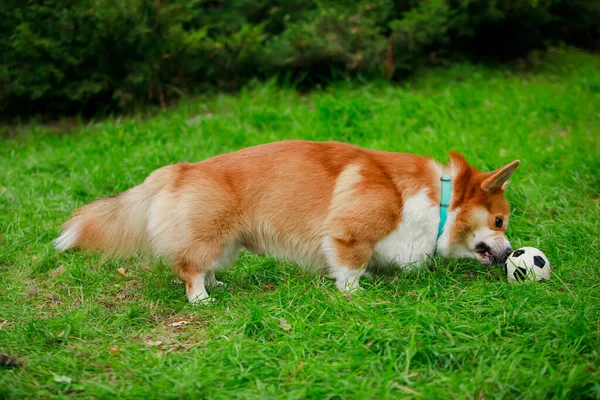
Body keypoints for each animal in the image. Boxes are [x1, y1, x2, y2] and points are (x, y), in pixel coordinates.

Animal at [52, 141, 520, 304]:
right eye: (499, 221)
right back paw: (201, 299)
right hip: (210, 236)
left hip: (226, 244)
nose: (512, 254)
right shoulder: (347, 234)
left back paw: (219, 287)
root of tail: (177, 170)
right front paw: (356, 294)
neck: (438, 200)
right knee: (189, 269)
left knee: (204, 266)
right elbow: (349, 268)